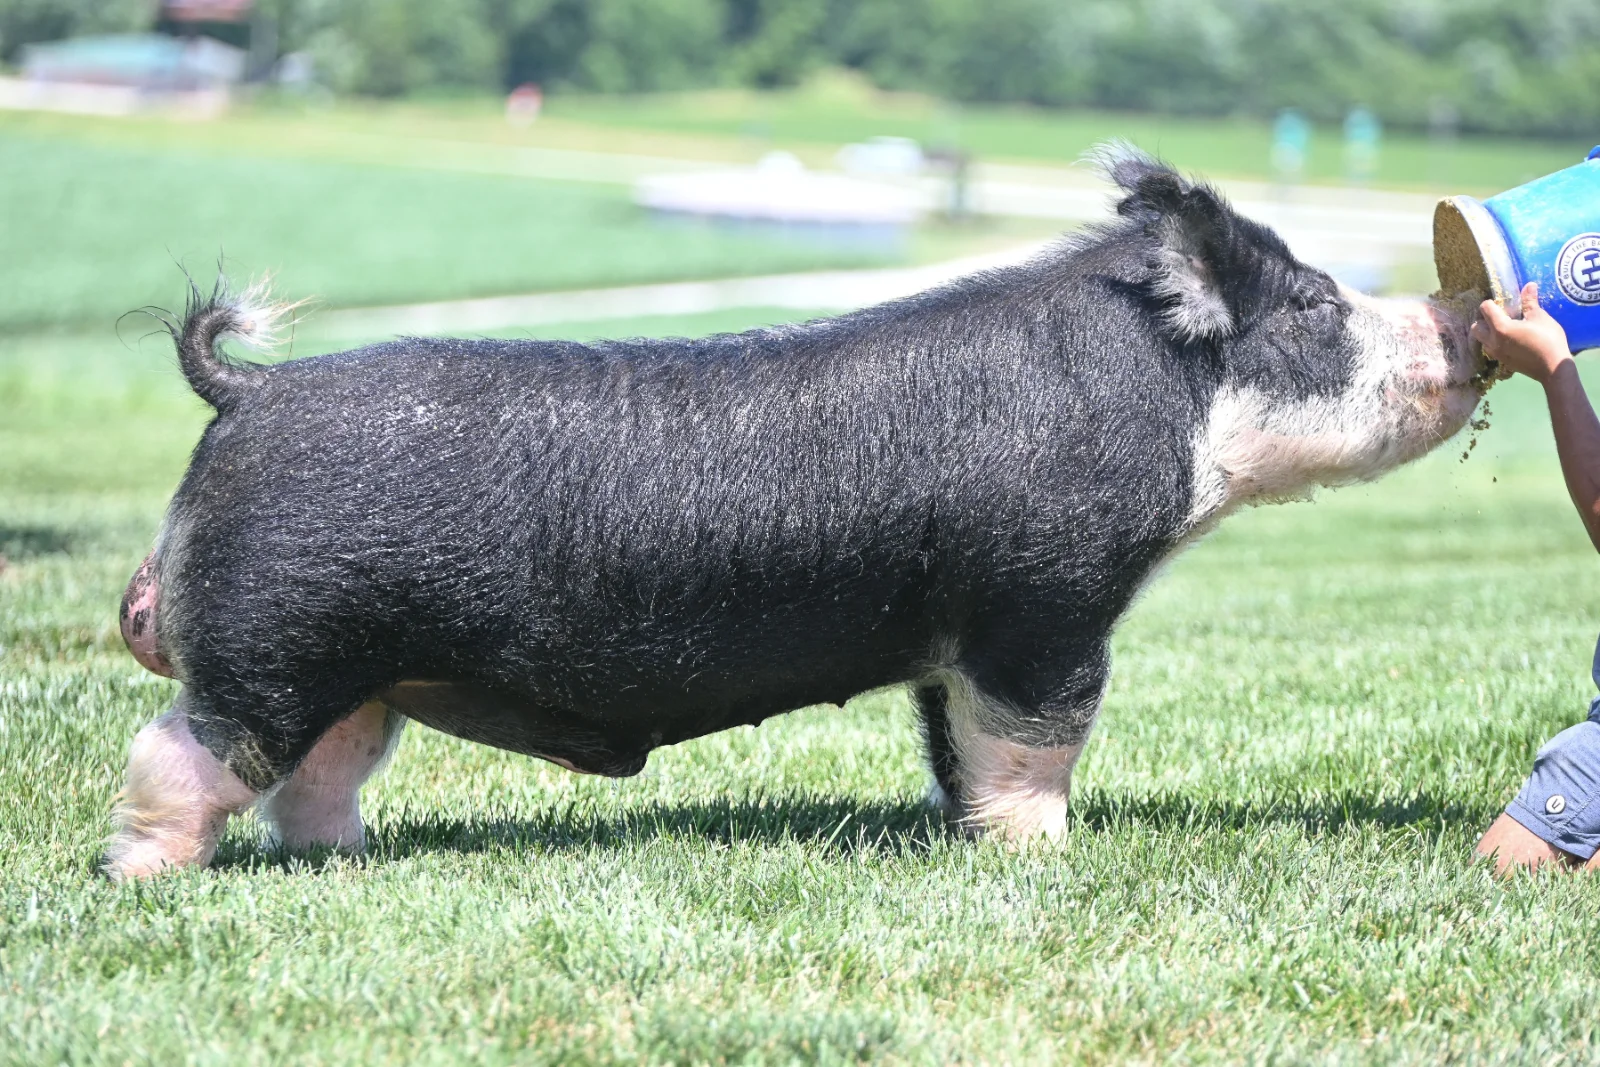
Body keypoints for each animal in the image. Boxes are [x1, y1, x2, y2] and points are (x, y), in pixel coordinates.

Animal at [104, 150, 1482, 879]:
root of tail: (252, 389)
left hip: (356, 668)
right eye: (1313, 305)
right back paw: (147, 873)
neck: (1160, 397)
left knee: (318, 774)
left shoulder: (952, 641)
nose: (1456, 326)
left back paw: (342, 857)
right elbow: (1043, 734)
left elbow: (956, 747)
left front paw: (976, 842)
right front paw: (1046, 857)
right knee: (183, 750)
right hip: (277, 637)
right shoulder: (1043, 599)